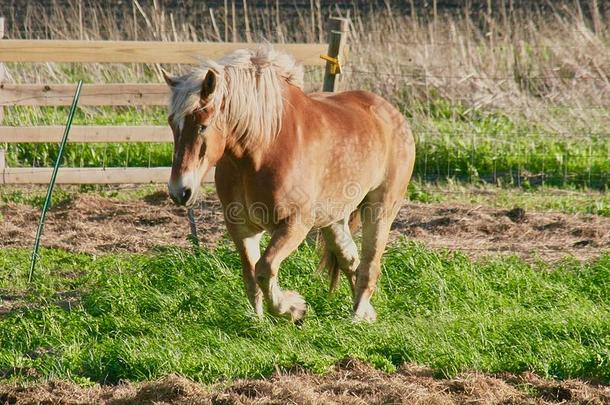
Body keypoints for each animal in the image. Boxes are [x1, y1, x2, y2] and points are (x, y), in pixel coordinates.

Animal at [163, 47, 414, 320]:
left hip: (381, 209)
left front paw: (293, 309)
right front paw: (259, 321)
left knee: (370, 265)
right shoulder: (241, 227)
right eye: (171, 124)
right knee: (350, 260)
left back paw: (356, 317)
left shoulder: (294, 225)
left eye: (203, 126)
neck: (264, 149)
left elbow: (264, 269)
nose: (180, 191)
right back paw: (366, 313)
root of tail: (392, 114)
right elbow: (250, 276)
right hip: (334, 218)